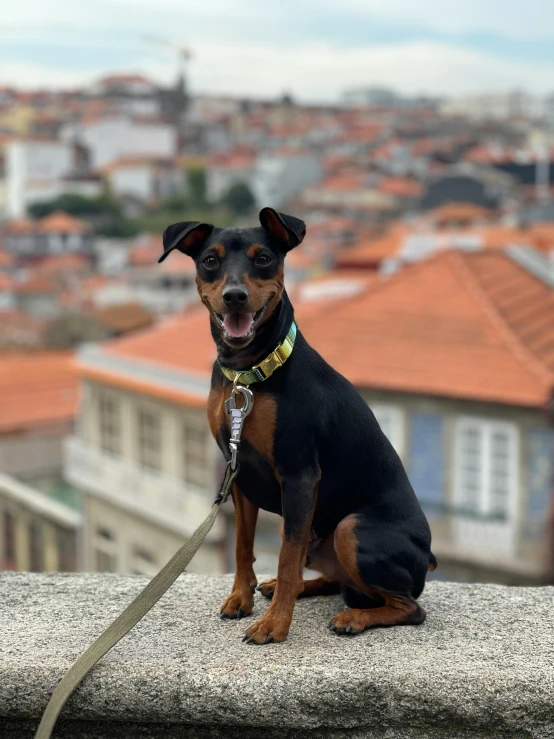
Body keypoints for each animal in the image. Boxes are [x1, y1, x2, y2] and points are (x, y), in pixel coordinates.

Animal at [157, 207, 434, 640]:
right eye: (210, 261)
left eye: (264, 258)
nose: (234, 295)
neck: (248, 372)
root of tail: (429, 555)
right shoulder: (240, 474)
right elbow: (243, 545)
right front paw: (242, 598)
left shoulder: (300, 475)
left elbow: (287, 555)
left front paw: (274, 625)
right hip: (324, 542)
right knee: (340, 582)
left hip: (350, 528)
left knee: (409, 606)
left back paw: (354, 617)